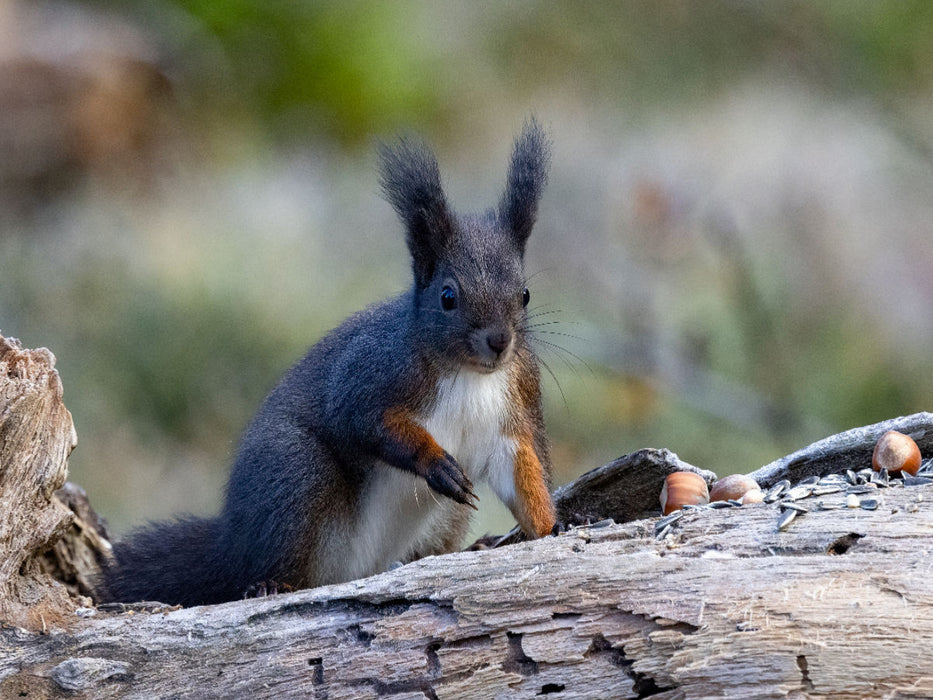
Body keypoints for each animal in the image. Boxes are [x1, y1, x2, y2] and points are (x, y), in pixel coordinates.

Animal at [100, 120, 552, 608]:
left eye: (525, 294)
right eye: (448, 296)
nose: (499, 342)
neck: (470, 375)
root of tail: (231, 545)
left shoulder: (514, 406)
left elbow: (523, 471)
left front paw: (551, 527)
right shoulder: (368, 373)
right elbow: (364, 420)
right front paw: (437, 464)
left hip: (441, 518)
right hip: (294, 474)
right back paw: (268, 584)